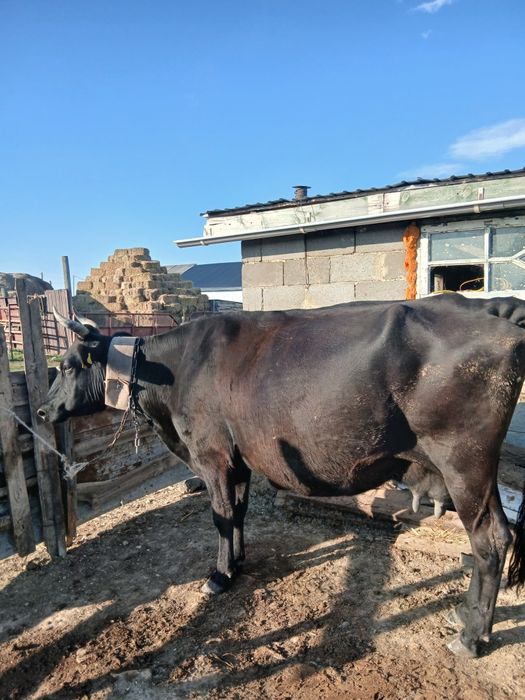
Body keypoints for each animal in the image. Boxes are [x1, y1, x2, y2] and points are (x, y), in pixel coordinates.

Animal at [38, 294, 525, 658]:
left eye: (68, 366)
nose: (42, 411)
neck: (176, 372)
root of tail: (488, 308)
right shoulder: (239, 459)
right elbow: (237, 512)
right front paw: (238, 561)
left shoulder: (211, 455)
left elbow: (219, 516)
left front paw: (219, 575)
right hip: (478, 470)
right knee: (496, 538)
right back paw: (464, 617)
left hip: (465, 463)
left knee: (490, 541)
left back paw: (471, 637)